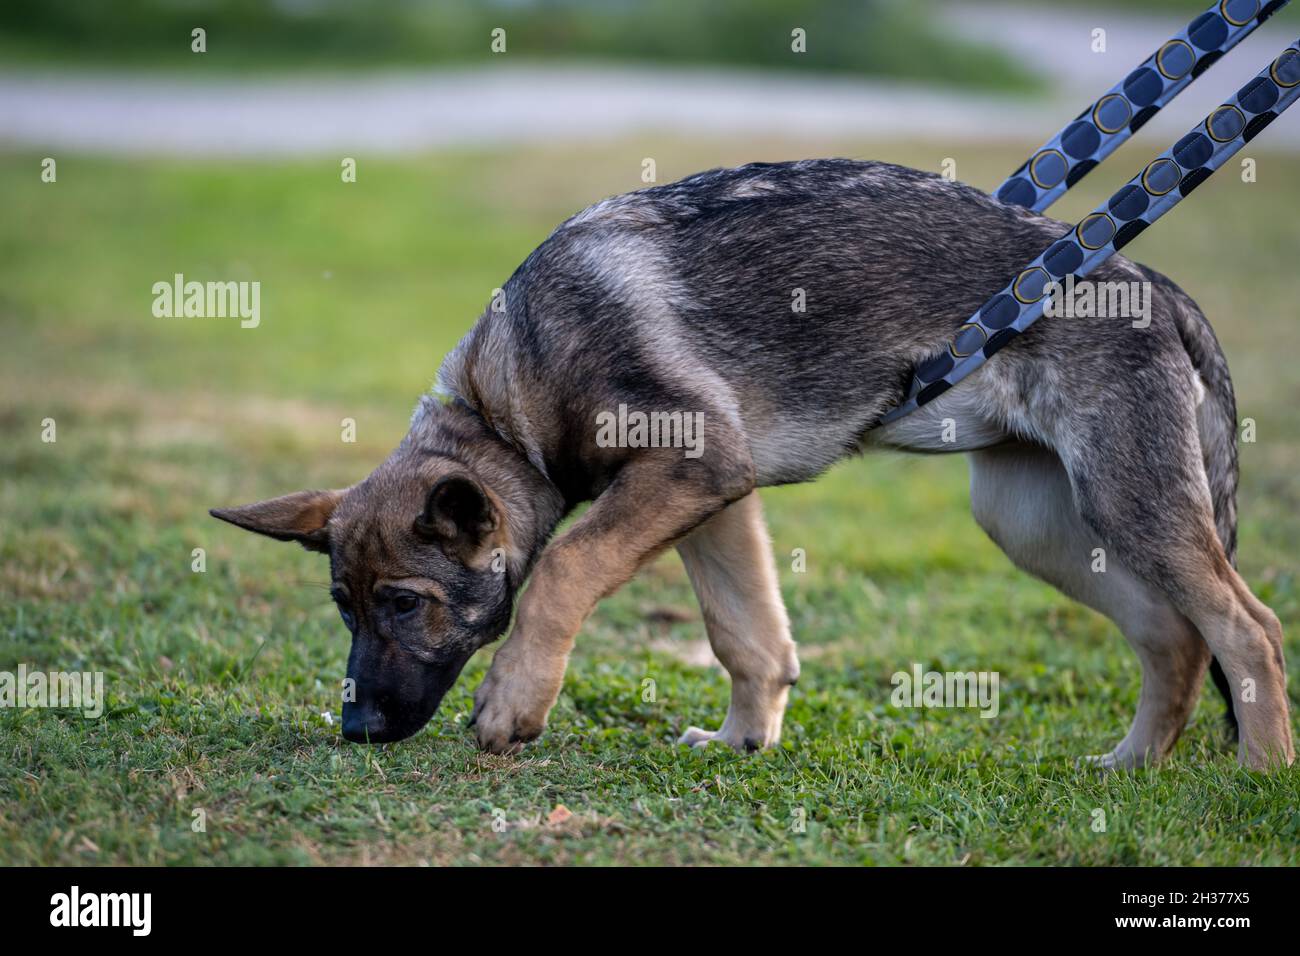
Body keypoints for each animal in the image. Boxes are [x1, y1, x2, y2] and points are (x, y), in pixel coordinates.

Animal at [210, 157, 1289, 770]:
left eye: (405, 604)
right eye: (344, 607)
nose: (356, 730)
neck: (508, 396)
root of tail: (1152, 284)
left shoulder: (689, 471)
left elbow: (562, 568)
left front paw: (515, 700)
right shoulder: (714, 500)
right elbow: (747, 636)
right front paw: (742, 743)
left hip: (1127, 504)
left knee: (1249, 627)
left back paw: (1259, 775)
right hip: (1043, 525)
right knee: (1173, 635)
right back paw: (1135, 763)